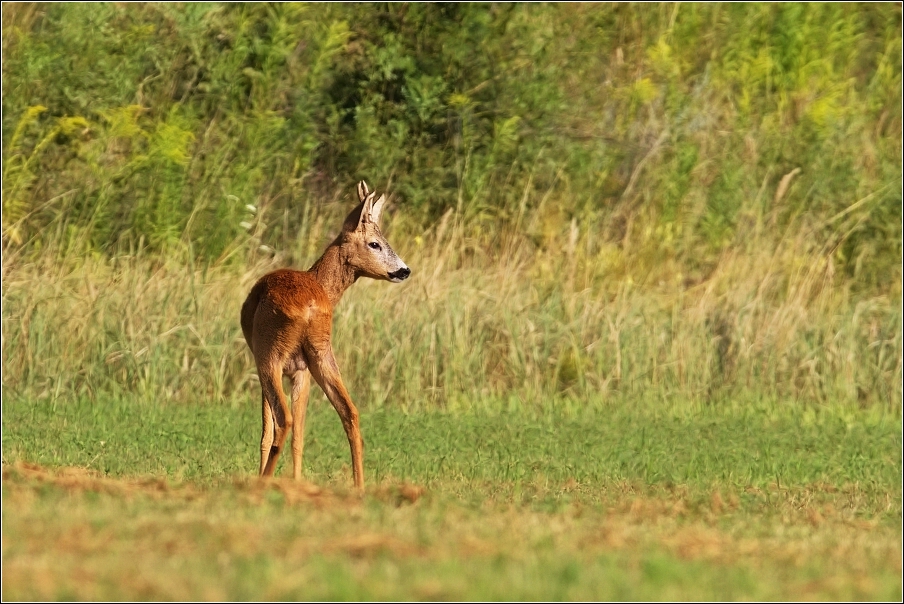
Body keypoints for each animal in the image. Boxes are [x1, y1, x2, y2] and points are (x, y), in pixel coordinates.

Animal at [238, 182, 412, 488]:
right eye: (375, 243)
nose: (404, 270)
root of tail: (310, 305)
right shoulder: (302, 370)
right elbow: (300, 436)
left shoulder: (273, 364)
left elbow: (266, 432)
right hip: (321, 351)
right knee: (349, 412)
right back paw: (359, 486)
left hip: (269, 355)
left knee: (283, 420)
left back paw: (264, 482)